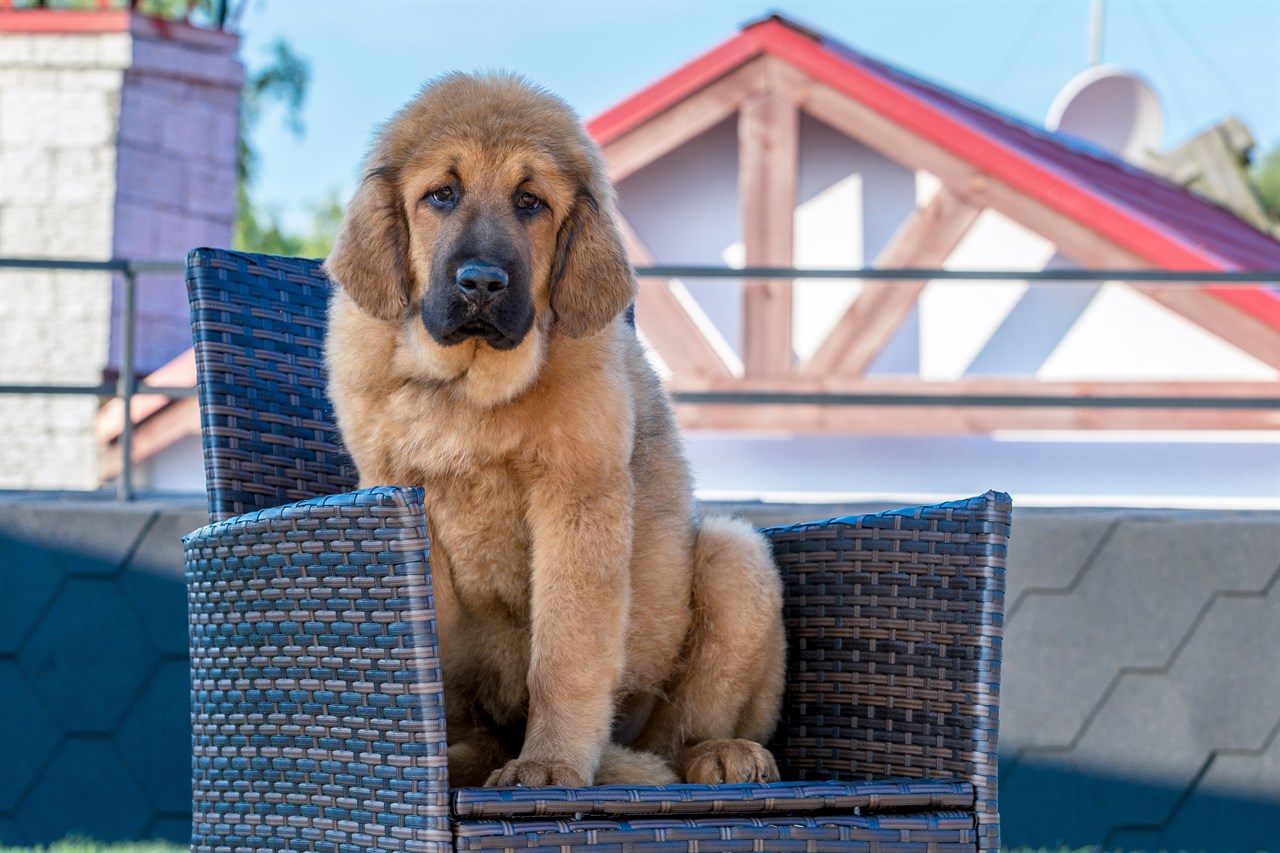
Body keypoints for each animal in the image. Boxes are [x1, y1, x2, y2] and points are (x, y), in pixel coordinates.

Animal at [322, 73, 778, 783]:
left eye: (530, 202)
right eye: (441, 195)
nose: (481, 283)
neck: (470, 392)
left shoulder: (577, 499)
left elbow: (564, 657)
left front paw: (549, 763)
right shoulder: (403, 502)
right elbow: (436, 668)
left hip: (735, 561)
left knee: (678, 732)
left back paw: (716, 754)